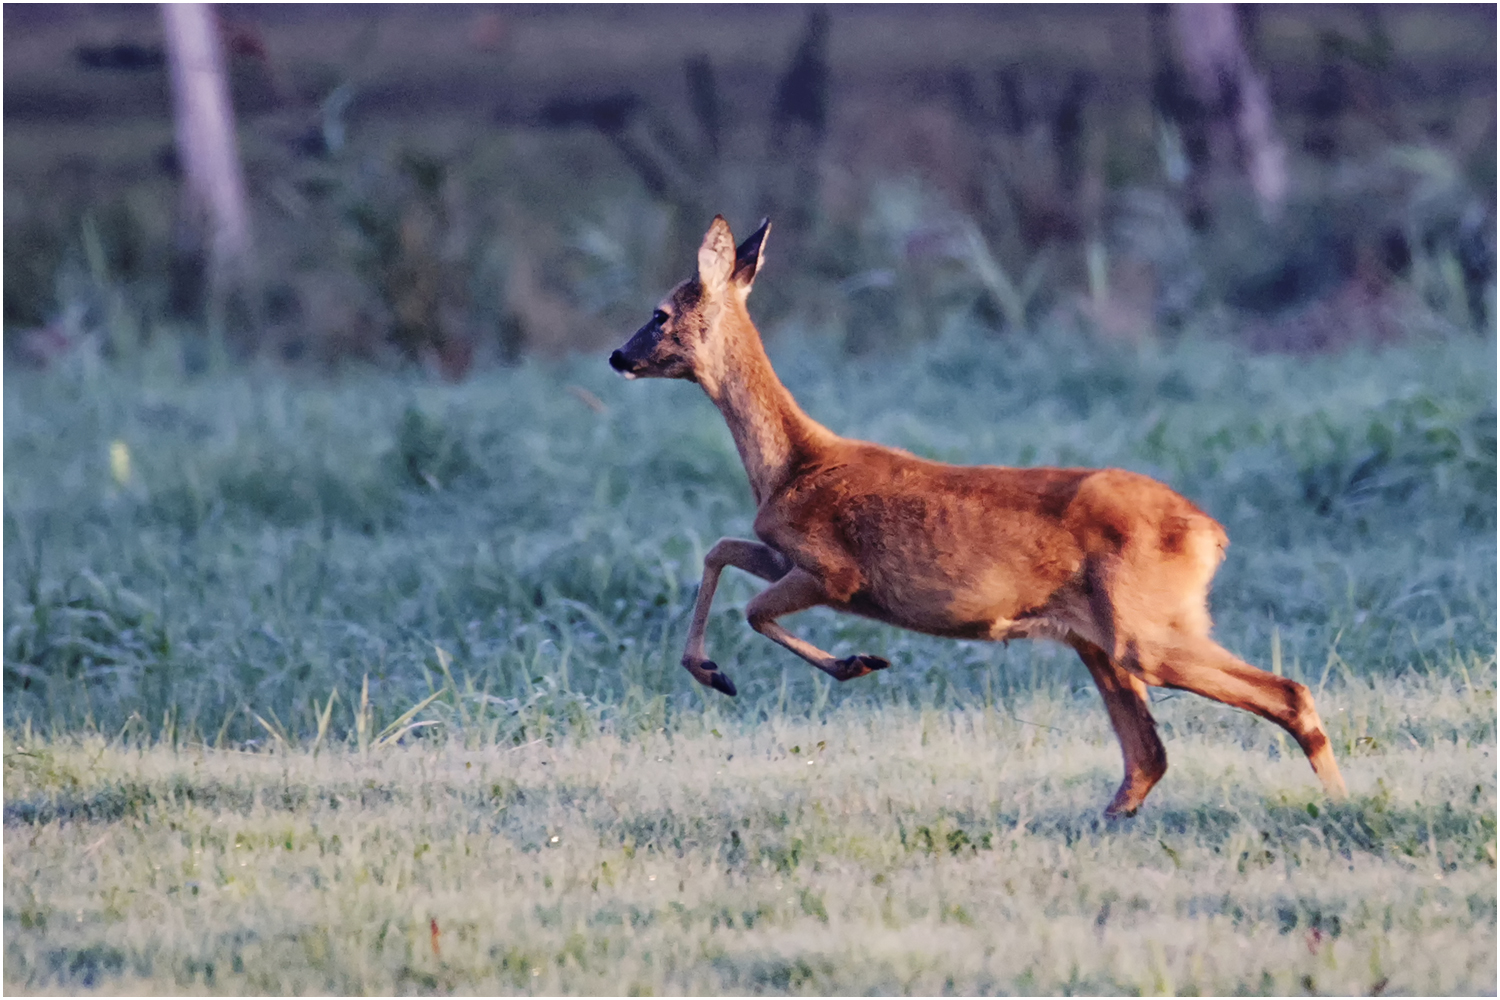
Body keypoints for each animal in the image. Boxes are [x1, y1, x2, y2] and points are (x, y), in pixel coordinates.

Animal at [609, 215, 1350, 815]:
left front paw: (852, 663)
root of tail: (1211, 533)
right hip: (1103, 636)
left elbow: (754, 608)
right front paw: (713, 671)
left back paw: (1338, 801)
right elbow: (720, 549)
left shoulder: (835, 570)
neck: (793, 465)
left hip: (1144, 629)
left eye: (660, 313)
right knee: (1147, 756)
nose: (617, 355)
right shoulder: (785, 553)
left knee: (1286, 694)